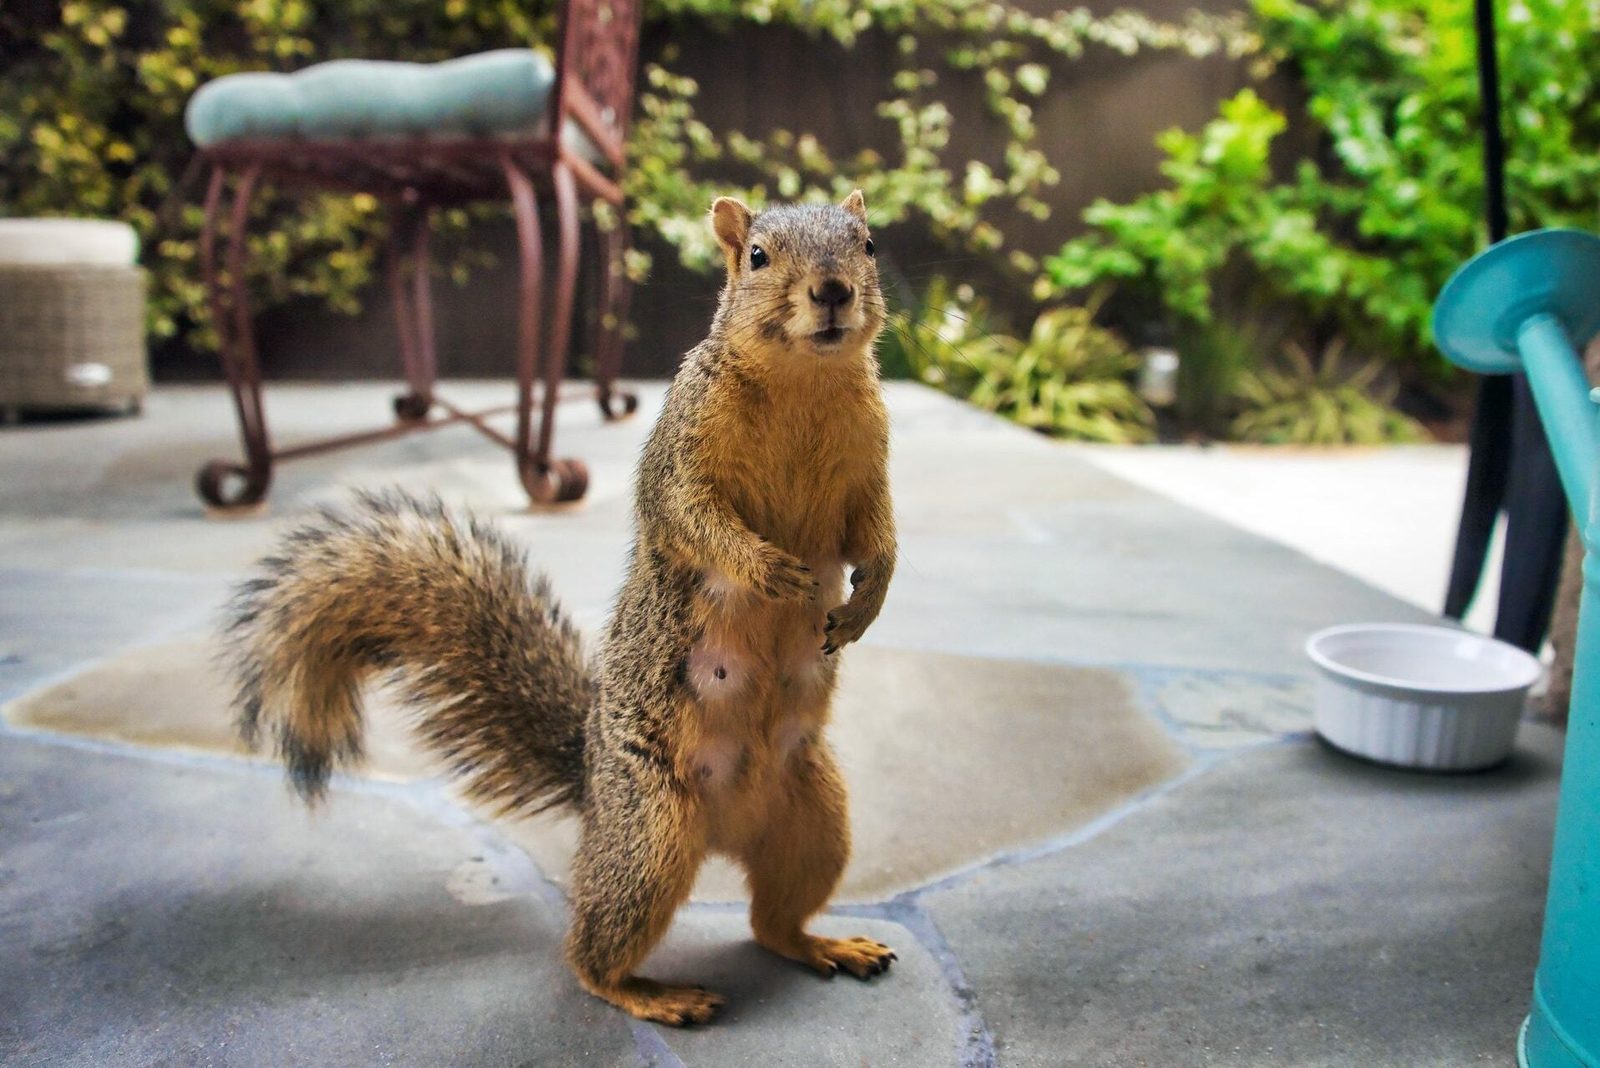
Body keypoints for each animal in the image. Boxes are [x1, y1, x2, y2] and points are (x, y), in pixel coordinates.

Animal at [225, 190, 897, 1026]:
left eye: (868, 245)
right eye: (757, 257)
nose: (833, 290)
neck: (806, 381)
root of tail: (594, 782)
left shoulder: (870, 461)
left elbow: (879, 533)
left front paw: (867, 599)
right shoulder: (681, 453)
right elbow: (693, 519)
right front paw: (768, 569)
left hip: (815, 817)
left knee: (772, 920)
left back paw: (824, 943)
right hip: (650, 833)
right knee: (590, 952)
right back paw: (650, 994)